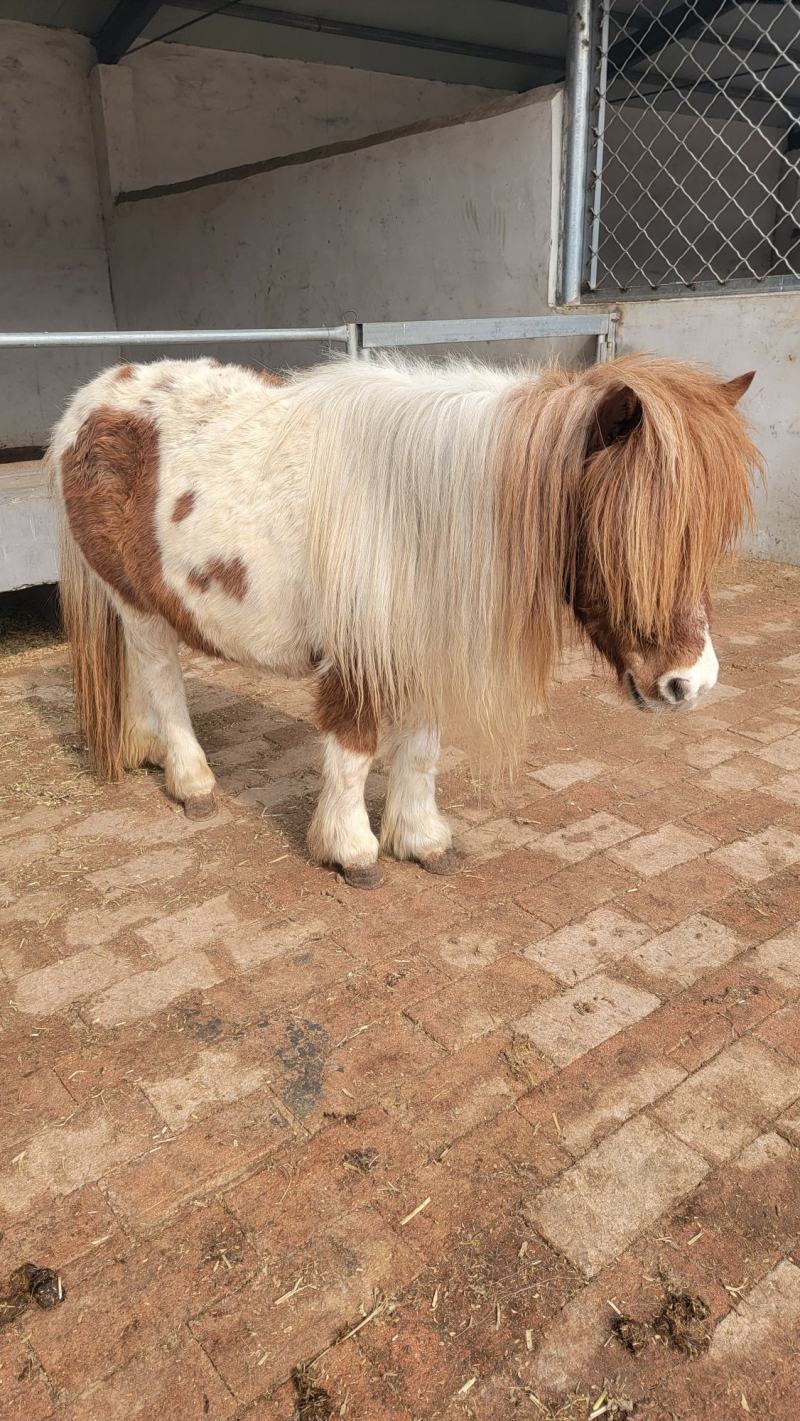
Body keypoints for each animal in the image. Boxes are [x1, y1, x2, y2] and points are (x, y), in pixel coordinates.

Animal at [50, 352, 760, 888]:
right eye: (630, 537)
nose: (691, 683)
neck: (417, 509)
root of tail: (89, 405)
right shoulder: (356, 658)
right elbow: (353, 750)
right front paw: (351, 851)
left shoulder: (422, 641)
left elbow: (421, 750)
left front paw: (421, 840)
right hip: (139, 604)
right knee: (162, 678)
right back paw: (190, 779)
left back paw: (147, 750)